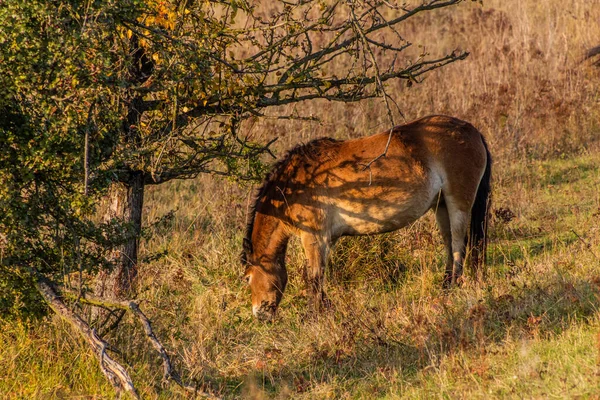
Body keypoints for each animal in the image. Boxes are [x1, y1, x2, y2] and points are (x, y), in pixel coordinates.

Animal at [241, 115, 490, 322]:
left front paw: (314, 314)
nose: (259, 315)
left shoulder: (314, 238)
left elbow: (314, 277)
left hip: (458, 204)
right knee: (449, 245)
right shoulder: (327, 240)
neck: (295, 184)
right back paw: (445, 285)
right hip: (441, 206)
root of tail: (473, 131)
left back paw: (453, 286)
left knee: (458, 246)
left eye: (248, 278)